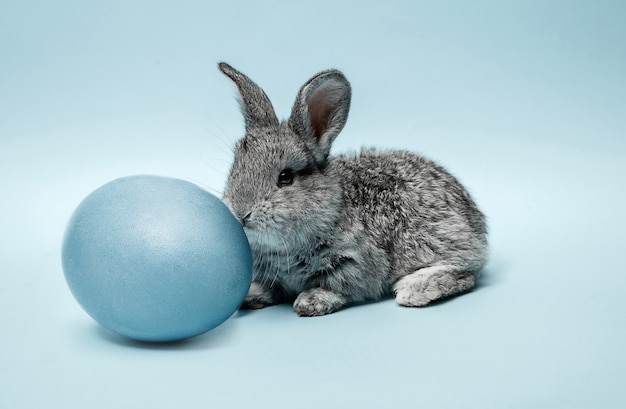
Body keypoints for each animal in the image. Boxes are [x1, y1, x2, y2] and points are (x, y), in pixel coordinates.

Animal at [219, 62, 488, 316]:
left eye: (285, 177)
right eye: (235, 167)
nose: (241, 214)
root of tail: (475, 216)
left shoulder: (353, 264)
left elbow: (341, 288)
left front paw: (311, 301)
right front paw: (250, 296)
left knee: (466, 271)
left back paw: (415, 289)